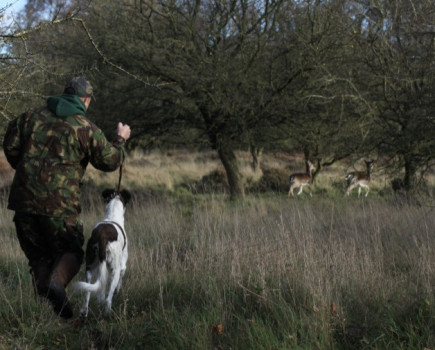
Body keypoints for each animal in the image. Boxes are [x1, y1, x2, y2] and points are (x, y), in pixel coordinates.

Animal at [75, 189, 131, 318]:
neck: (112, 216)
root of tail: (102, 237)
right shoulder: (122, 266)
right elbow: (120, 279)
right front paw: (117, 291)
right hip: (114, 269)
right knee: (108, 299)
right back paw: (108, 313)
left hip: (89, 267)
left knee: (88, 292)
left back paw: (84, 312)